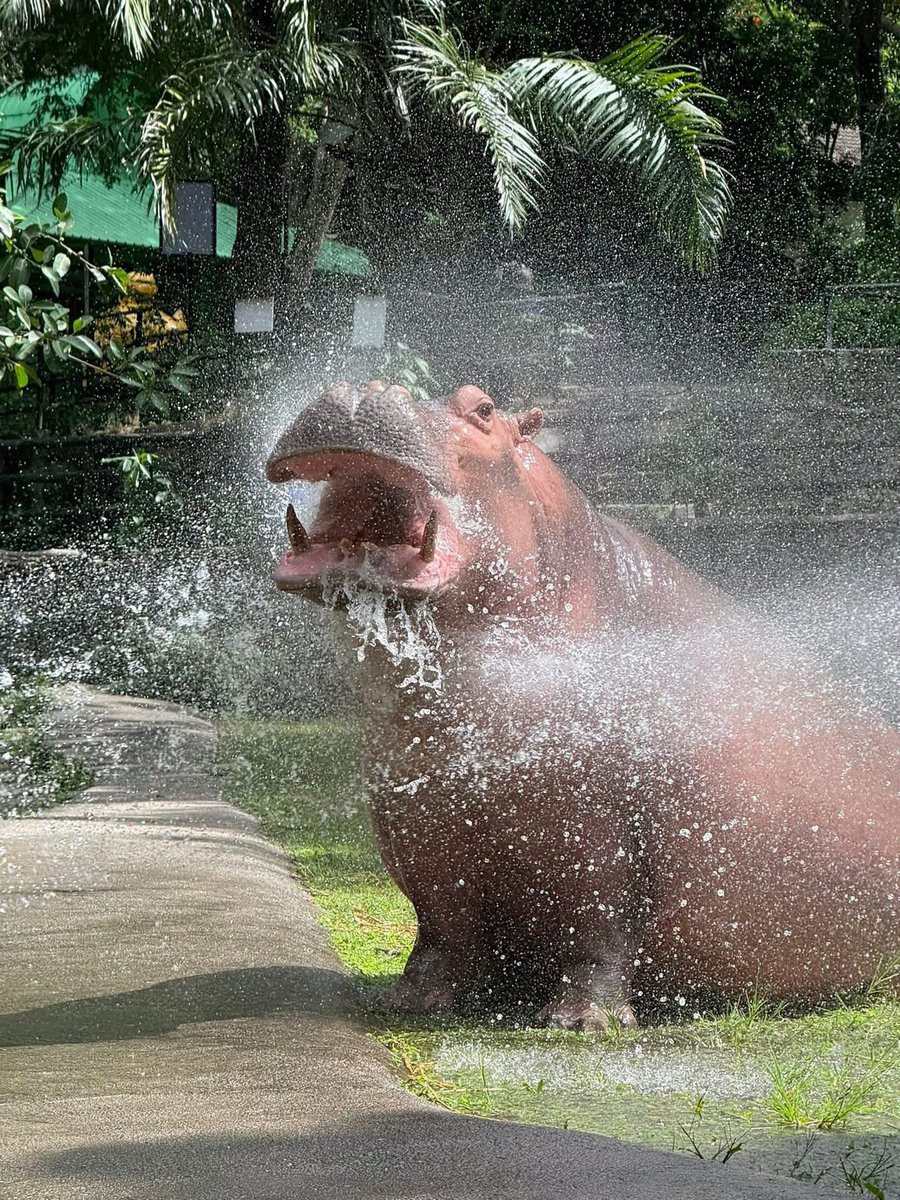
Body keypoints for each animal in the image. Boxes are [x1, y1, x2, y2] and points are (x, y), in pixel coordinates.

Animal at [267, 380, 899, 1031]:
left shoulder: (599, 836)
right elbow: (442, 932)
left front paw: (582, 1021)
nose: (362, 388)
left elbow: (597, 930)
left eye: (483, 408)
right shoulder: (419, 827)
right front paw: (411, 1002)